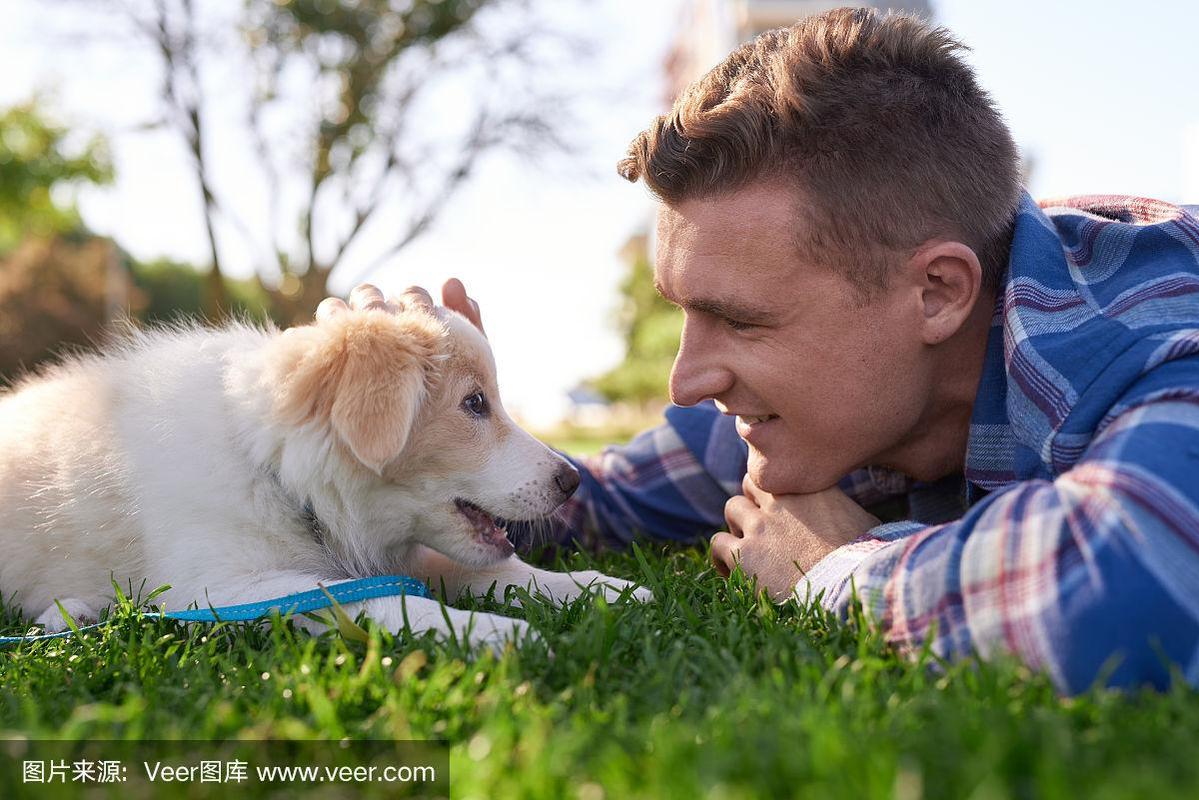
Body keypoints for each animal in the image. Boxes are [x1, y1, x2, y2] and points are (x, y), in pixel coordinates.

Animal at [0, 297, 652, 652]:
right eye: (474, 404)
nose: (572, 480)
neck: (274, 468)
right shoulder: (219, 587)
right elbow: (384, 600)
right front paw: (496, 634)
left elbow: (501, 570)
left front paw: (599, 588)